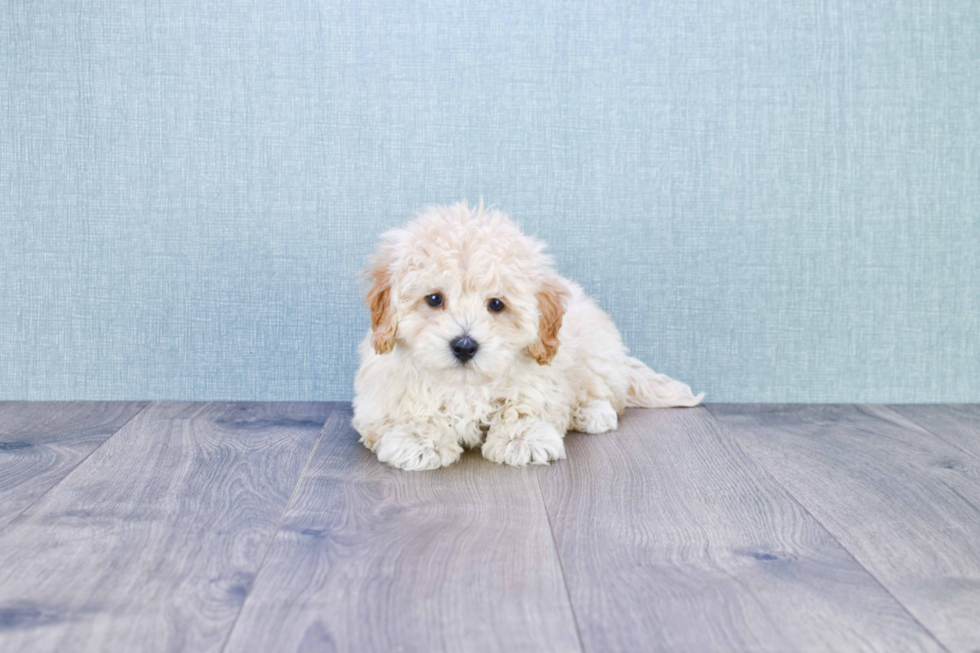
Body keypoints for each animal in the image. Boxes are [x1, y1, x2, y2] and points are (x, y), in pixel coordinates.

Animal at [352, 204, 704, 468]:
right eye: (434, 299)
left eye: (496, 304)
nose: (464, 346)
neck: (465, 386)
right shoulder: (382, 393)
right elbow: (409, 411)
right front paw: (419, 439)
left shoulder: (541, 378)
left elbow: (523, 405)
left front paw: (522, 438)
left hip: (594, 352)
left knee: (604, 393)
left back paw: (593, 412)